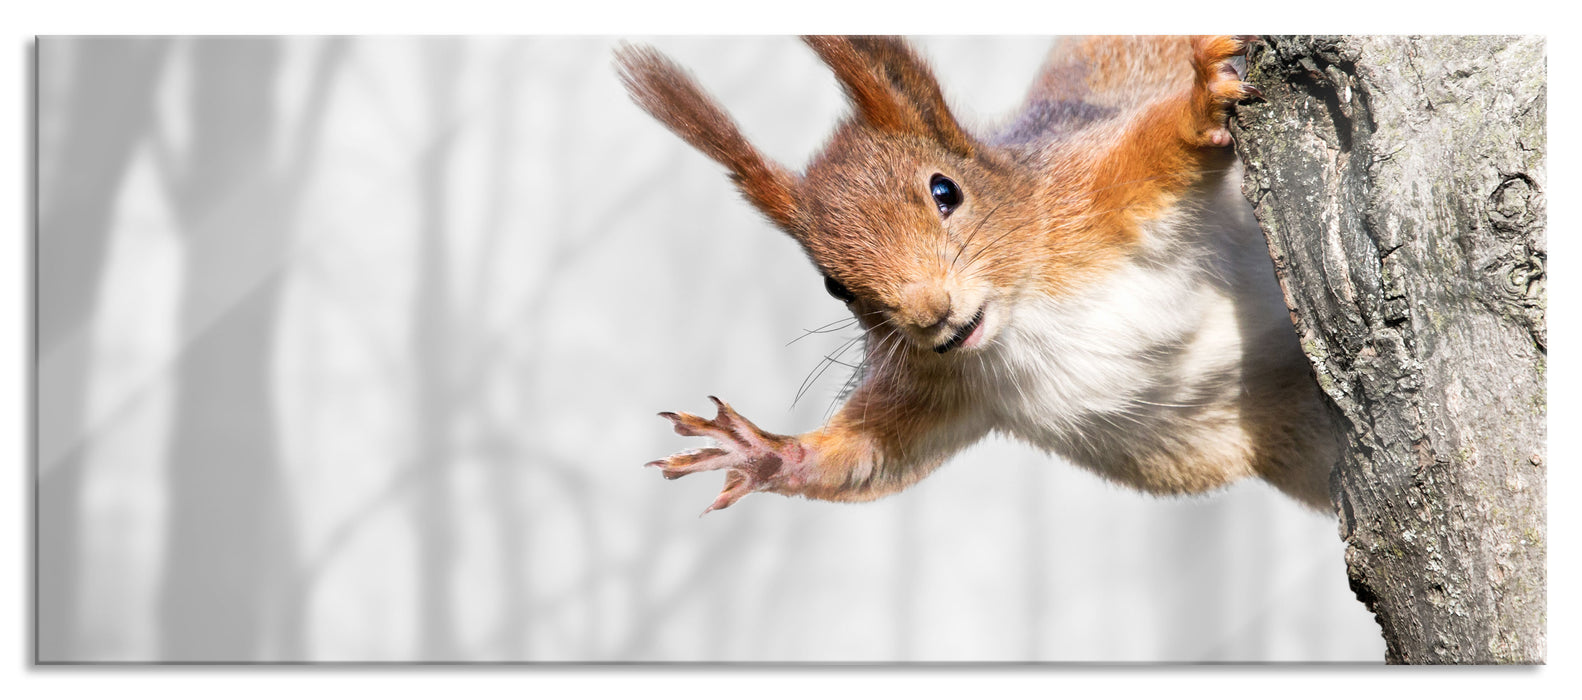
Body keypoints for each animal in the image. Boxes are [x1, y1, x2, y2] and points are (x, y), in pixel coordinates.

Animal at [616, 36, 1339, 515]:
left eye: (946, 191)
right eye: (833, 286)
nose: (930, 316)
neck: (1024, 313)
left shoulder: (1091, 191)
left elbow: (1159, 144)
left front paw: (1201, 102)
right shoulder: (940, 385)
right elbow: (871, 456)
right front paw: (759, 451)